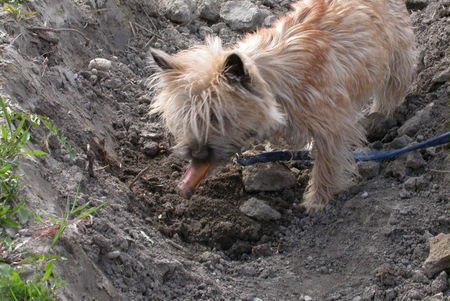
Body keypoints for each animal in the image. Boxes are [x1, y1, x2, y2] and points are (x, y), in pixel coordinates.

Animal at [148, 0, 414, 211]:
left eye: (218, 118)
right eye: (185, 120)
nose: (197, 155)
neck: (275, 82)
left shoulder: (332, 125)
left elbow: (328, 163)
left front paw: (318, 200)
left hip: (397, 50)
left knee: (394, 85)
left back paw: (382, 114)